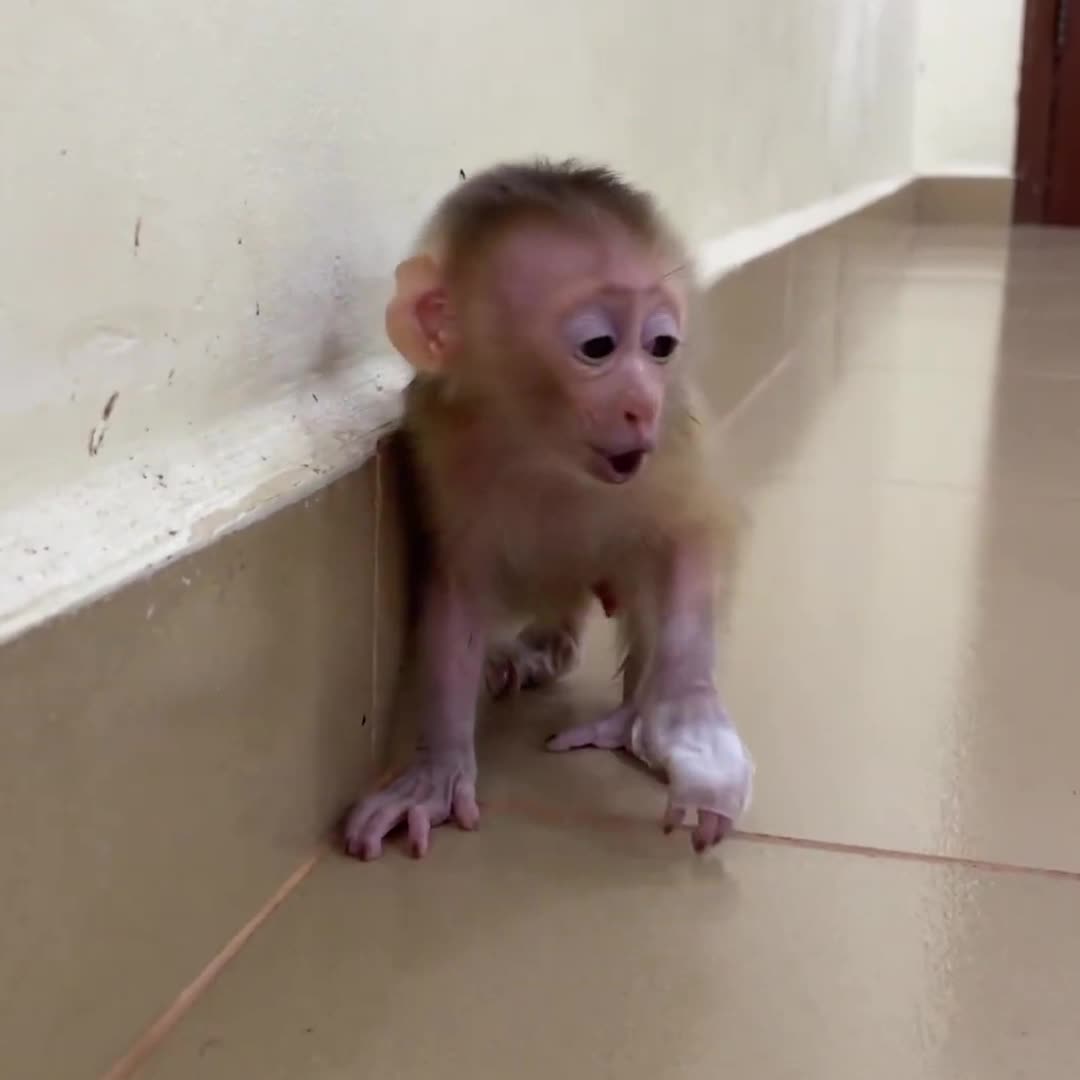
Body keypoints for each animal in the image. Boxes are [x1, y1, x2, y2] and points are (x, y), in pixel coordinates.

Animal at [344, 159, 753, 860]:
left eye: (661, 345)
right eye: (598, 345)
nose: (641, 404)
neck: (543, 452)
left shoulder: (673, 442)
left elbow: (688, 542)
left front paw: (688, 721)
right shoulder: (442, 442)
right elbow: (457, 597)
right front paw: (435, 769)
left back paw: (627, 716)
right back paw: (531, 655)